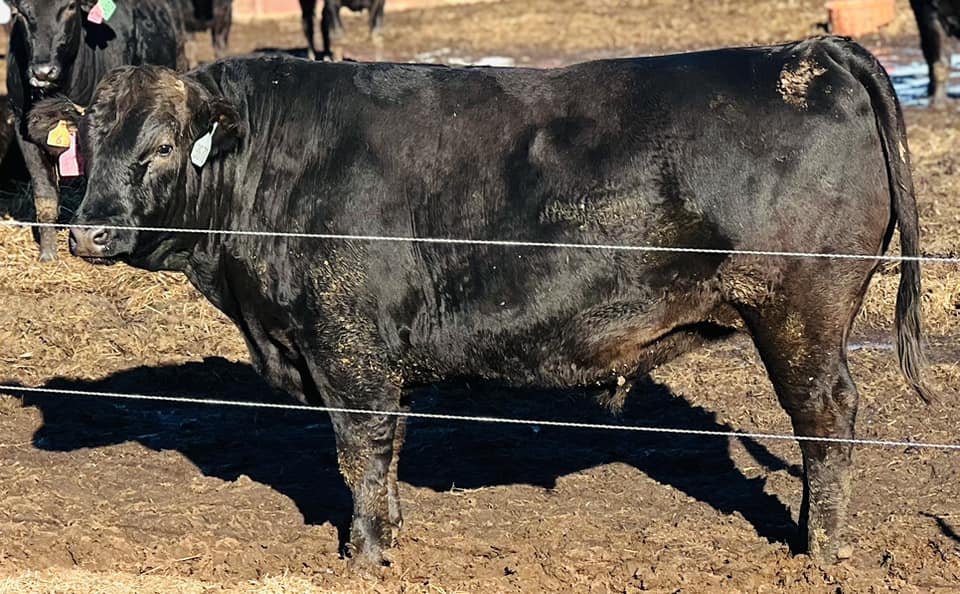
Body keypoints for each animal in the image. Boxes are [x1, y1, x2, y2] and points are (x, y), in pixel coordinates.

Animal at [28, 35, 928, 564]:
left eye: (161, 147)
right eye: (86, 143)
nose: (90, 232)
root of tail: (810, 50)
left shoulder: (347, 346)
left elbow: (360, 448)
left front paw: (365, 553)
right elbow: (386, 449)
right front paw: (388, 533)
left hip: (800, 312)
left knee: (827, 417)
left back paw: (820, 550)